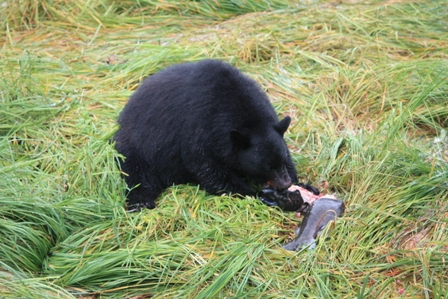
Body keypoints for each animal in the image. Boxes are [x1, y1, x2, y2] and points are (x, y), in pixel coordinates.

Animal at [114, 59, 298, 211]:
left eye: (281, 160)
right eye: (266, 167)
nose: (285, 183)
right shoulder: (199, 129)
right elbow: (207, 168)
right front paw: (255, 194)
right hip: (136, 149)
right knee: (137, 177)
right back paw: (141, 203)